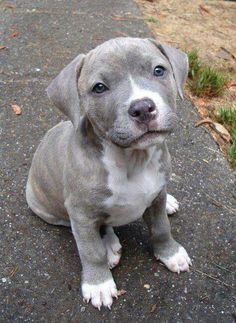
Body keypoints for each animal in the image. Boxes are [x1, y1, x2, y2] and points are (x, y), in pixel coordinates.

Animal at [26, 38, 192, 312]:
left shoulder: (156, 195)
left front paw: (171, 253)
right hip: (50, 210)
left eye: (159, 70)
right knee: (98, 227)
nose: (142, 108)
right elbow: (90, 250)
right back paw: (110, 247)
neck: (132, 159)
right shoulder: (81, 213)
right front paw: (98, 284)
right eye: (99, 88)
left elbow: (161, 227)